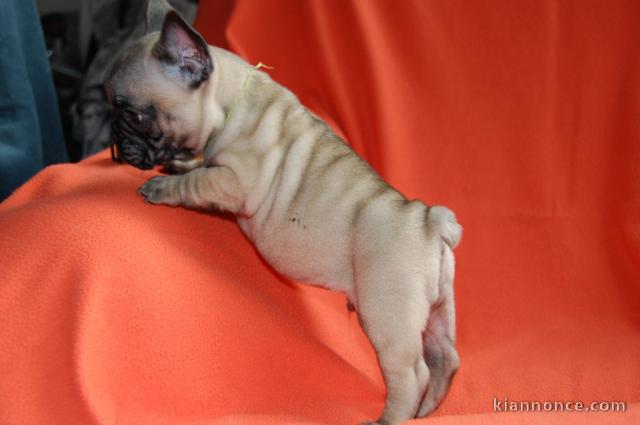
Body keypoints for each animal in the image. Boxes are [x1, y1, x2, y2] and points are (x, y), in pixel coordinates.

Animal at [107, 1, 462, 422]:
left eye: (134, 115)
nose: (114, 148)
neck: (229, 101)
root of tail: (429, 221)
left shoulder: (232, 180)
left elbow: (194, 183)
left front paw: (162, 187)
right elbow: (194, 166)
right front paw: (179, 165)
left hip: (388, 310)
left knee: (411, 373)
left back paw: (391, 417)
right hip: (438, 309)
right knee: (445, 357)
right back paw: (428, 408)